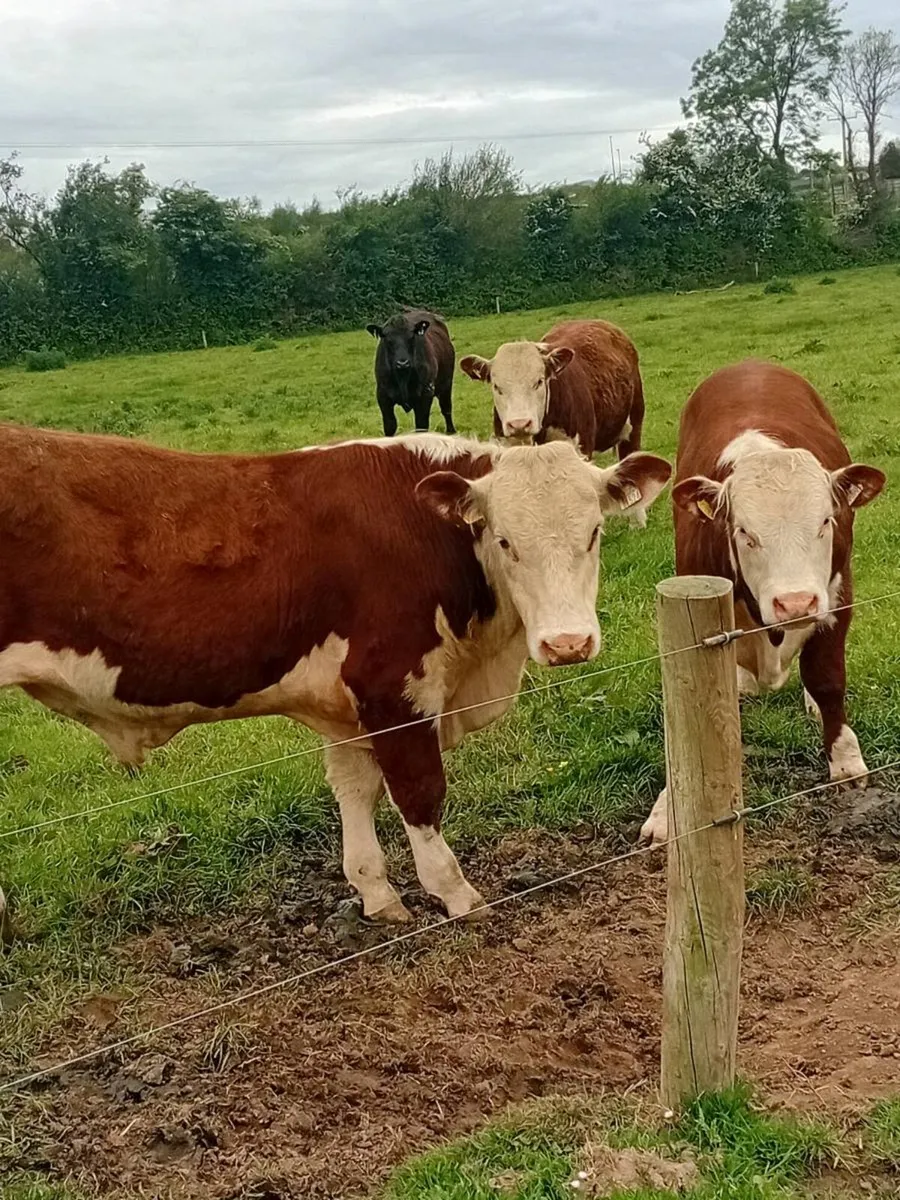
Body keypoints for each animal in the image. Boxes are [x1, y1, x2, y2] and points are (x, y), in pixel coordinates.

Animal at [0, 423, 671, 927]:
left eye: (595, 532)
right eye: (503, 539)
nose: (568, 643)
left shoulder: (346, 707)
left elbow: (354, 788)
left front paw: (375, 891)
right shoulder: (393, 685)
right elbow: (419, 792)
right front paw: (455, 893)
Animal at [366, 309, 456, 437]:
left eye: (412, 337)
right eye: (387, 339)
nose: (402, 363)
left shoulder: (426, 393)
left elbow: (421, 425)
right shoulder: (382, 395)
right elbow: (390, 425)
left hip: (447, 383)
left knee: (446, 408)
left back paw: (451, 431)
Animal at [639, 359, 885, 846]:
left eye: (826, 521)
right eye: (744, 532)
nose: (795, 603)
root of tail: (748, 364)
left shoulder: (837, 596)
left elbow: (828, 679)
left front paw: (846, 762)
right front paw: (668, 810)